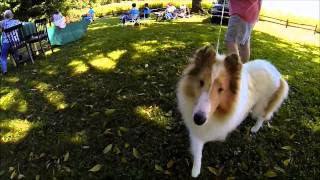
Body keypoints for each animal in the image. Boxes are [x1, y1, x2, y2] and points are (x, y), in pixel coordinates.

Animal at [176, 45, 288, 177]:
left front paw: (195, 171)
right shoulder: (198, 130)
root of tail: (277, 72)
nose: (198, 119)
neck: (217, 113)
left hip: (262, 104)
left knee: (262, 116)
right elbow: (198, 150)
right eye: (201, 82)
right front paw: (195, 170)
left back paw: (255, 128)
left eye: (221, 89)